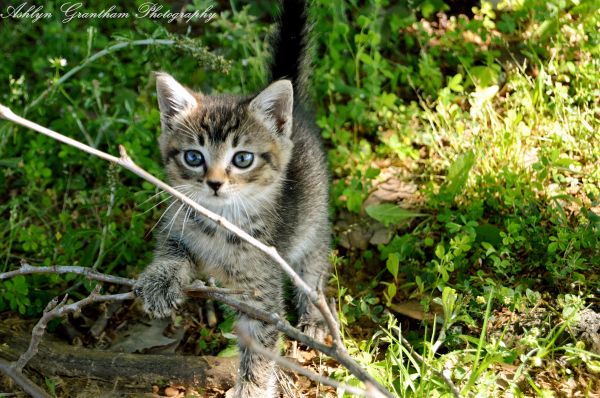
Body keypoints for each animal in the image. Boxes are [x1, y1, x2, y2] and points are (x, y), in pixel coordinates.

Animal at [134, 0, 332, 394]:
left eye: (242, 159)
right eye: (193, 157)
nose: (214, 183)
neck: (219, 222)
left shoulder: (262, 294)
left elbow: (259, 345)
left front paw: (251, 388)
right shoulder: (175, 221)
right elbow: (172, 248)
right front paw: (160, 281)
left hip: (313, 220)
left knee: (314, 261)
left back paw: (314, 315)